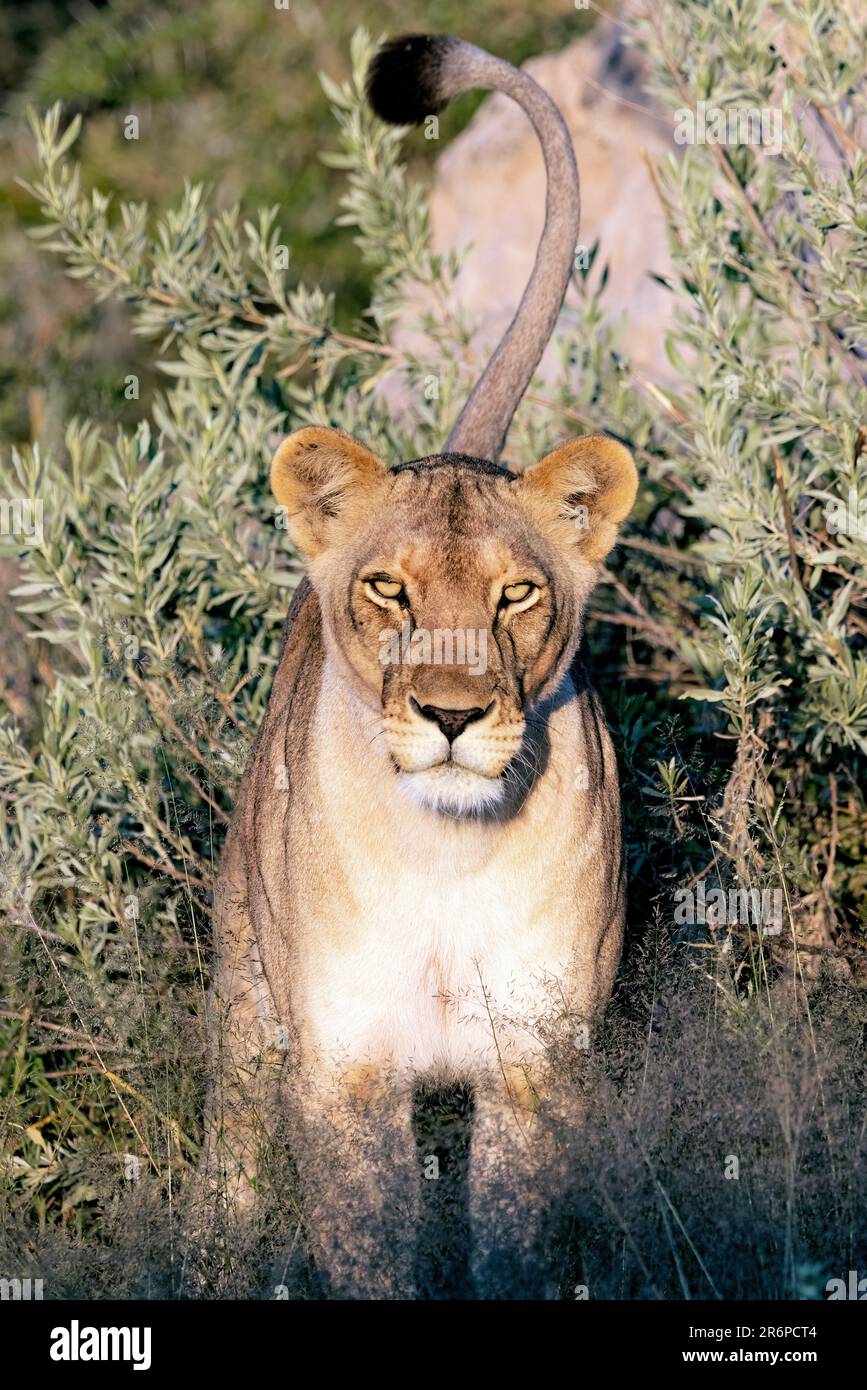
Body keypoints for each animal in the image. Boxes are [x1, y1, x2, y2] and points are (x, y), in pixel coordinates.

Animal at [203, 34, 637, 1299]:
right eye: (390, 589)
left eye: (516, 594)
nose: (451, 714)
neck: (448, 849)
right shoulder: (342, 1072)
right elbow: (368, 1246)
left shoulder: (537, 1066)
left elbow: (513, 1238)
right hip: (244, 1000)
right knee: (227, 1150)